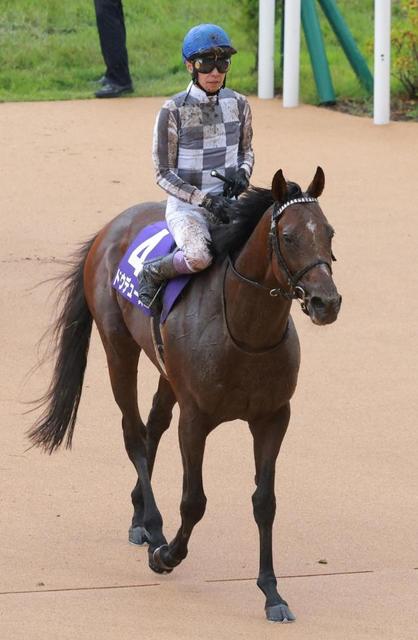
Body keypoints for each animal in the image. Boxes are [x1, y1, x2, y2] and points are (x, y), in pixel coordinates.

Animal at [28, 166, 341, 622]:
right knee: (134, 433)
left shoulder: (273, 417)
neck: (246, 332)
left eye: (329, 233)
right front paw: (167, 555)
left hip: (167, 373)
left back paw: (140, 514)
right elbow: (193, 501)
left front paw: (272, 592)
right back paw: (154, 525)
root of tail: (111, 226)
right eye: (289, 237)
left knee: (154, 424)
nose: (326, 302)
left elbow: (265, 501)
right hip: (118, 347)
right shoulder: (196, 419)